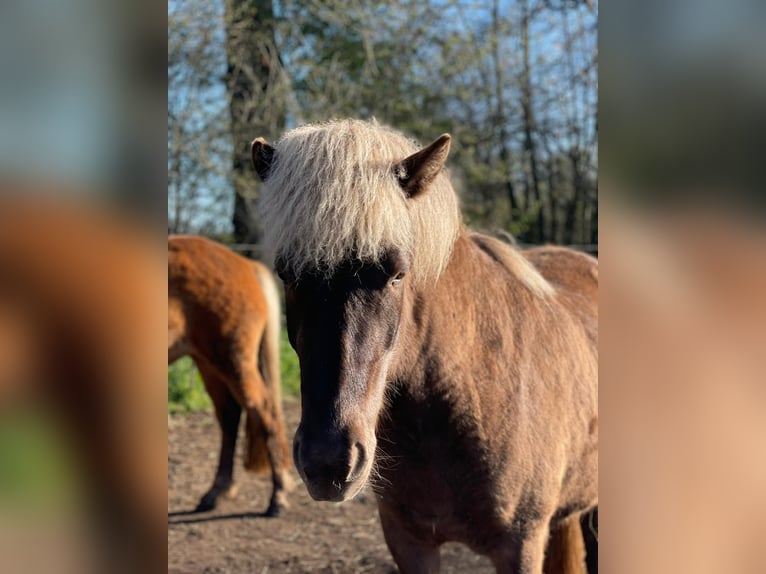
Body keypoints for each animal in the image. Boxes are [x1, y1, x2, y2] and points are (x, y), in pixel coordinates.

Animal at [168, 235, 292, 516]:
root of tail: (246, 265)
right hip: (208, 363)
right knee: (229, 415)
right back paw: (218, 491)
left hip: (232, 362)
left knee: (264, 411)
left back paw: (278, 495)